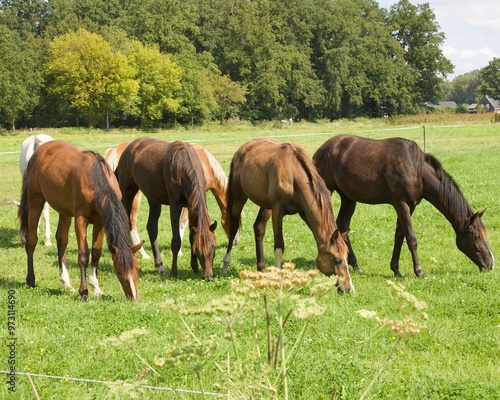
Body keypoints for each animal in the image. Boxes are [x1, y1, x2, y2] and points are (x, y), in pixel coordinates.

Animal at [18, 141, 142, 300]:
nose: (134, 298)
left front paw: (96, 288)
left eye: (137, 268)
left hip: (63, 211)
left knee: (61, 240)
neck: (95, 179)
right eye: (119, 271)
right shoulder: (80, 219)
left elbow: (96, 252)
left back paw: (66, 282)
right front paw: (84, 291)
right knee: (32, 240)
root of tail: (39, 150)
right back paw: (31, 280)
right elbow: (83, 255)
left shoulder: (100, 222)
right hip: (36, 201)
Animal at [104, 141, 237, 260]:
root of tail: (114, 150)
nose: (235, 241)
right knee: (131, 221)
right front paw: (180, 252)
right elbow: (183, 223)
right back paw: (143, 253)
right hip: (134, 196)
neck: (206, 163)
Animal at [115, 138, 217, 278]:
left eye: (214, 247)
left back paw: (160, 266)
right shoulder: (175, 205)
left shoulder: (191, 206)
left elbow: (192, 236)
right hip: (128, 193)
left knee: (152, 228)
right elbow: (176, 241)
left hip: (153, 198)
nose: (208, 275)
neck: (182, 165)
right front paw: (174, 272)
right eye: (199, 250)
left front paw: (195, 268)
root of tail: (129, 147)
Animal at [223, 138, 352, 290]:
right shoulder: (277, 210)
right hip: (239, 197)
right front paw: (279, 281)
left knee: (259, 228)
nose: (349, 288)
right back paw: (225, 264)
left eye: (347, 256)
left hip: (265, 205)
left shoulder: (304, 212)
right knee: (234, 226)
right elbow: (279, 246)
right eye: (337, 260)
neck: (293, 174)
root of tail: (242, 149)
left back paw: (262, 269)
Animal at [314, 134, 494, 278]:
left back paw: (355, 264)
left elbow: (400, 235)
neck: (416, 169)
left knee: (343, 225)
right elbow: (411, 238)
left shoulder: (411, 205)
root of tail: (321, 150)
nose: (491, 264)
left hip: (348, 197)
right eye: (476, 236)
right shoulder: (401, 203)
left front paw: (396, 269)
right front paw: (419, 271)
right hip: (327, 191)